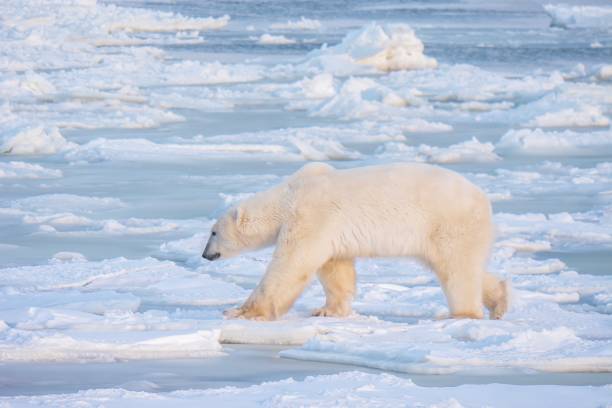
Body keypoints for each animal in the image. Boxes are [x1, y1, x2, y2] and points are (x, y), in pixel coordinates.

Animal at [203, 163, 510, 322]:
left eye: (213, 232)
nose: (205, 254)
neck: (288, 196)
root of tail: (483, 199)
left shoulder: (311, 216)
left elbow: (292, 264)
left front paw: (240, 312)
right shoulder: (327, 230)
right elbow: (335, 268)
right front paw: (327, 310)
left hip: (447, 223)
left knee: (456, 270)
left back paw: (460, 314)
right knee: (464, 267)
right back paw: (499, 302)